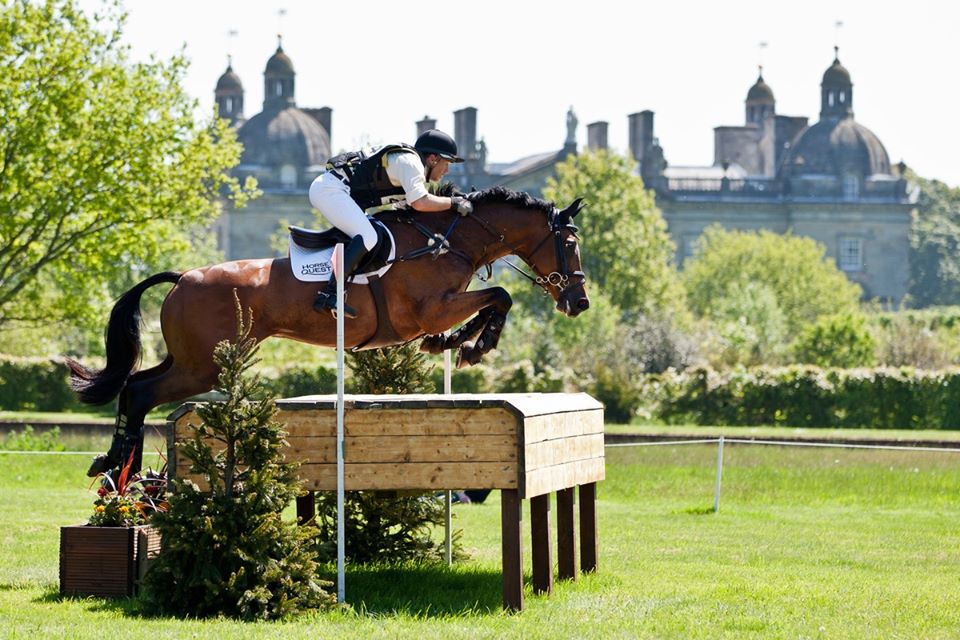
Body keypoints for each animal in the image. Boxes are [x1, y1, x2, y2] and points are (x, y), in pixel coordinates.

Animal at [65, 185, 584, 476]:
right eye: (570, 242)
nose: (579, 302)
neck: (446, 240)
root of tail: (184, 277)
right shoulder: (429, 309)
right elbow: (500, 296)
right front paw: (472, 344)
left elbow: (493, 299)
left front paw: (457, 342)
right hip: (203, 368)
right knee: (140, 392)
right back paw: (120, 470)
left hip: (190, 359)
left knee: (135, 385)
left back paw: (116, 465)